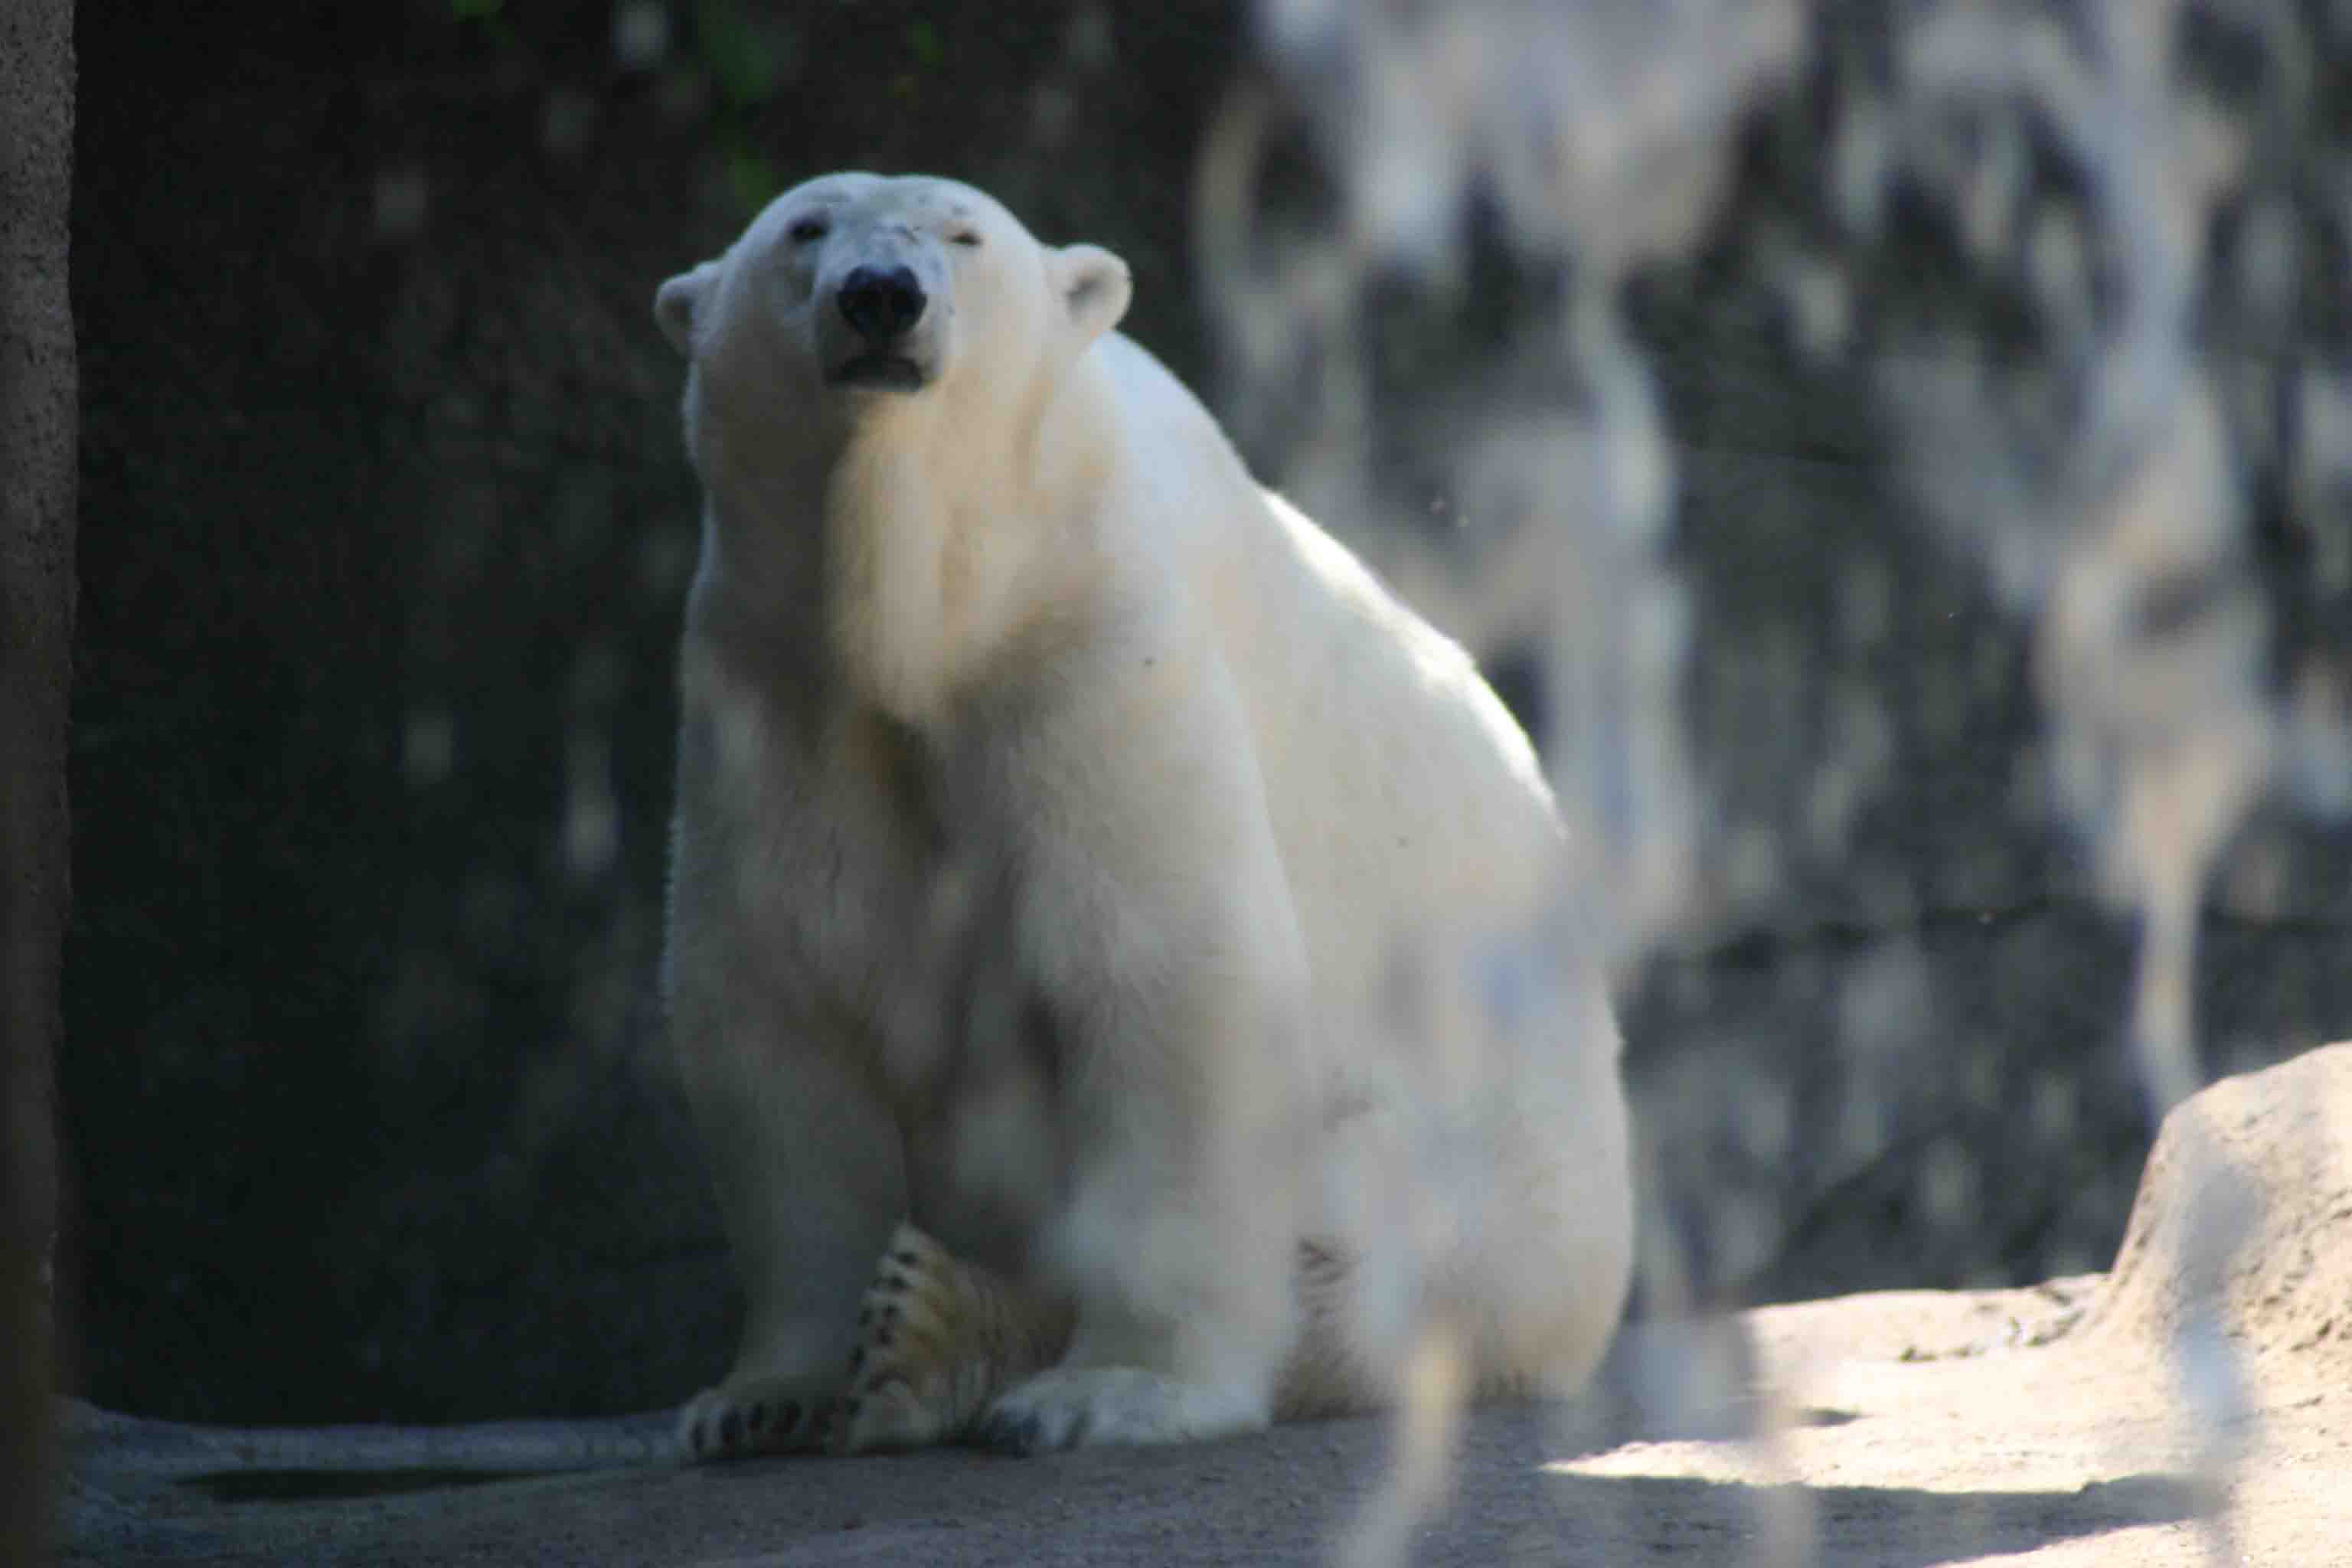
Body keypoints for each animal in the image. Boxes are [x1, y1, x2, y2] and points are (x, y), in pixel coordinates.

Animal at [654, 172, 1627, 1457]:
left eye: (965, 232)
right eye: (803, 229)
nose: (882, 296)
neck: (930, 605)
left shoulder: (1093, 645)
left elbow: (1164, 979)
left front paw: (1107, 1390)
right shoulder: (772, 691)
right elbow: (779, 1016)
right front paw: (767, 1397)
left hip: (1501, 1179)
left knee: (1371, 1272)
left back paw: (946, 1325)